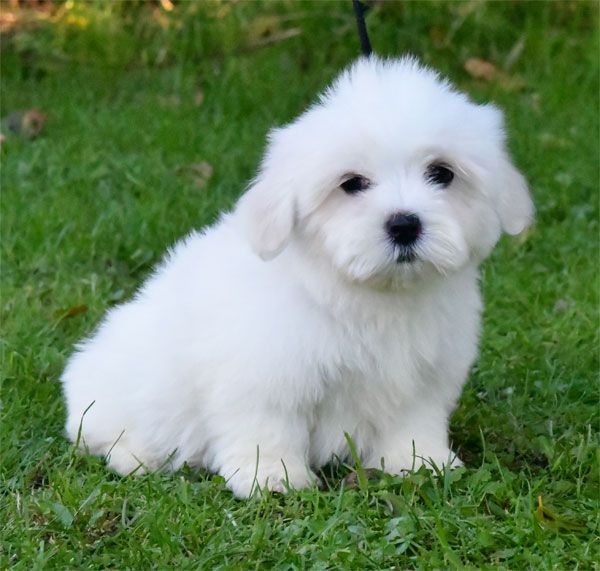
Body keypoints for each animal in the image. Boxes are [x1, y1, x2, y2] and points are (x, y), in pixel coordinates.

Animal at [61, 55, 532, 498]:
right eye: (352, 183)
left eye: (442, 173)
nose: (404, 224)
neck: (369, 293)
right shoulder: (265, 371)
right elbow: (267, 426)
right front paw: (271, 477)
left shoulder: (422, 374)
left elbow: (413, 420)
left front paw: (420, 461)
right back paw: (136, 457)